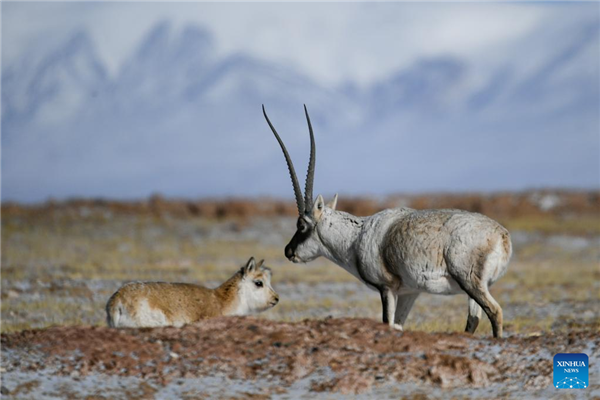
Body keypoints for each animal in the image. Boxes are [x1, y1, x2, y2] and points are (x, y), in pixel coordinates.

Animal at [262, 106, 510, 338]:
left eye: (301, 225)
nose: (288, 250)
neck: (356, 237)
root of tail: (502, 236)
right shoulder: (410, 292)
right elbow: (398, 326)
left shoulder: (387, 288)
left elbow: (387, 324)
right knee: (473, 319)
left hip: (470, 283)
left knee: (495, 311)